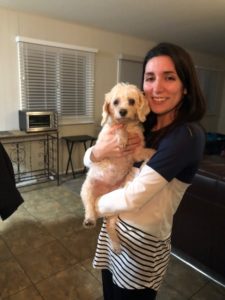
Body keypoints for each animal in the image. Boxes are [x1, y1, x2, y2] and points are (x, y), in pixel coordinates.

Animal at [80, 82, 155, 253]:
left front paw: (154, 153)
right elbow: (117, 126)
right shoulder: (106, 136)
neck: (129, 126)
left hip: (115, 205)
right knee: (89, 207)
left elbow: (148, 151)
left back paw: (115, 244)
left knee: (110, 225)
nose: (122, 111)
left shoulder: (137, 152)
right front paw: (122, 138)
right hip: (87, 189)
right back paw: (89, 220)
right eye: (115, 102)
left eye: (132, 101)